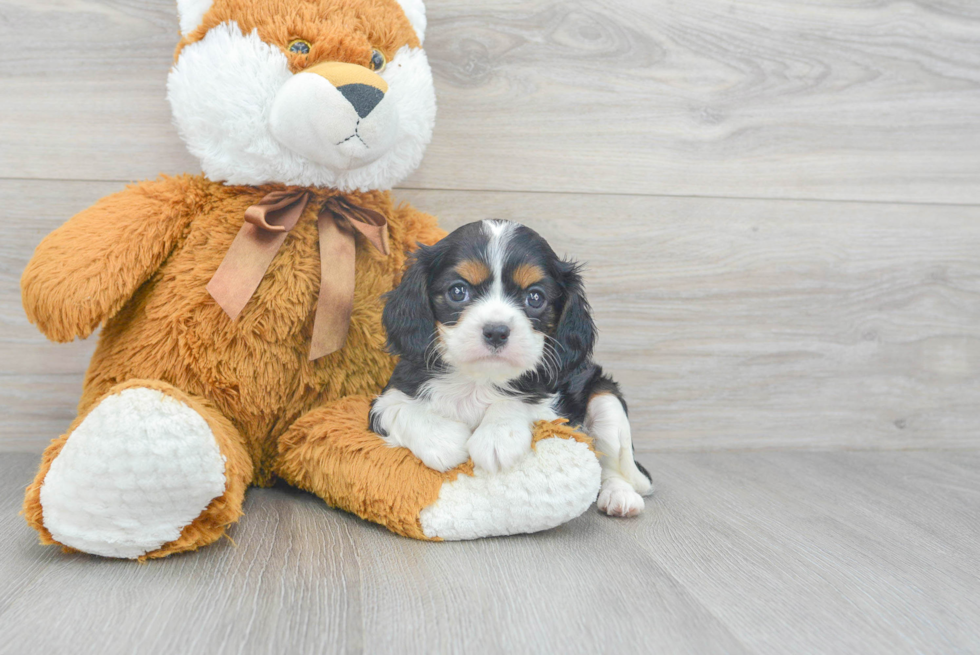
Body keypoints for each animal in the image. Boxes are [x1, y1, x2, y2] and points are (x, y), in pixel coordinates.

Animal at [368, 220, 652, 516]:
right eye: (458, 291)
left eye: (535, 297)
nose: (496, 331)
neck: (479, 379)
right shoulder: (386, 399)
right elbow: (403, 410)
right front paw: (443, 441)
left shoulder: (554, 404)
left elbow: (520, 401)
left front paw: (498, 436)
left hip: (605, 400)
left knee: (612, 463)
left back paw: (620, 496)